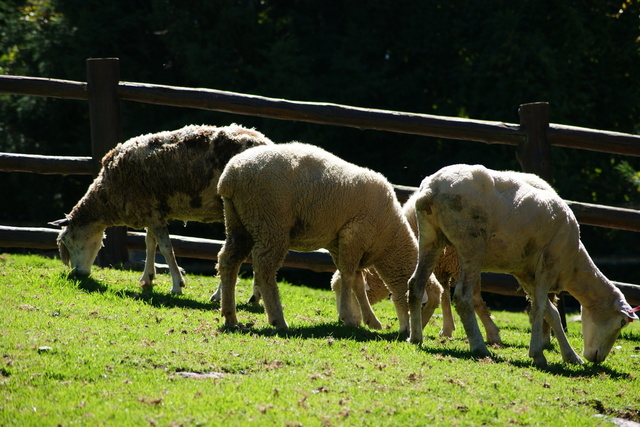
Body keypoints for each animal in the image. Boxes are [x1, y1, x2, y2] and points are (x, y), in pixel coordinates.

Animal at [48, 123, 272, 294]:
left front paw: (177, 286)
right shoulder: (150, 211)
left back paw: (224, 295)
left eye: (68, 240)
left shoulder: (152, 212)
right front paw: (147, 278)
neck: (107, 195)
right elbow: (149, 244)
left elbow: (165, 248)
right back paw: (254, 296)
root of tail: (267, 143)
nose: (77, 274)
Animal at [215, 141, 436, 334]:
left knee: (228, 261)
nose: (409, 332)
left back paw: (230, 316)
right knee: (264, 269)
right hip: (270, 222)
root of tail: (230, 177)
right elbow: (348, 277)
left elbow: (358, 282)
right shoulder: (353, 235)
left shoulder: (342, 243)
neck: (389, 238)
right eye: (422, 306)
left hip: (238, 221)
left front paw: (369, 320)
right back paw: (278, 320)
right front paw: (348, 317)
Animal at [332, 192, 502, 346]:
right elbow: (444, 297)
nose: (342, 320)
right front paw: (446, 330)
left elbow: (475, 299)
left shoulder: (460, 264)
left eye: (350, 291)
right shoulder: (440, 269)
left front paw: (492, 333)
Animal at [408, 166, 636, 366]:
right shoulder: (548, 265)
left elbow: (551, 313)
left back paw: (415, 337)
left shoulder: (525, 272)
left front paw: (571, 356)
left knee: (416, 283)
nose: (597, 359)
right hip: (471, 242)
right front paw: (538, 355)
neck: (573, 266)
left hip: (430, 236)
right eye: (622, 322)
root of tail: (431, 189)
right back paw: (479, 346)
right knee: (463, 296)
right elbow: (539, 309)